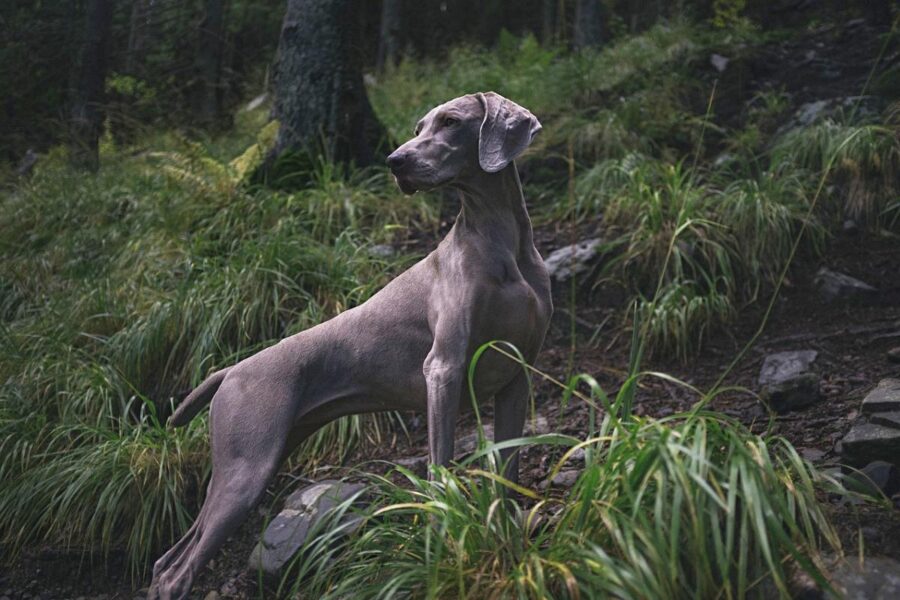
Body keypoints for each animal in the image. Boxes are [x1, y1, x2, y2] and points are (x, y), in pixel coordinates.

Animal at [148, 91, 552, 596]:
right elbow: (440, 468)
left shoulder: (518, 376)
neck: (500, 241)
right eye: (418, 127)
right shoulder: (444, 368)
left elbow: (508, 474)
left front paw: (508, 540)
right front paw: (444, 536)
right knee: (176, 571)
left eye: (451, 122)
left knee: (166, 560)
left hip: (254, 460)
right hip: (244, 471)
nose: (395, 161)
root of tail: (230, 370)